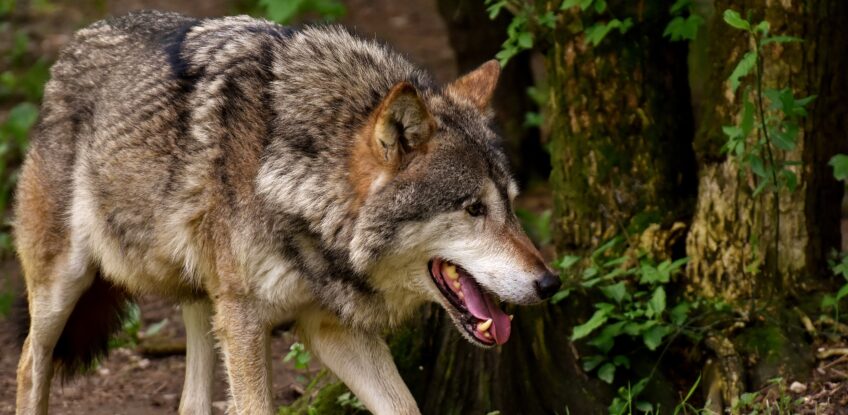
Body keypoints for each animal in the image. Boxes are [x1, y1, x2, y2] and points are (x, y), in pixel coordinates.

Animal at [13, 10, 561, 415]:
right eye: (473, 208)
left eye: (511, 204)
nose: (550, 283)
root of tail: (74, 44)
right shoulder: (245, 321)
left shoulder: (330, 327)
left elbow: (404, 406)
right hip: (64, 284)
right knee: (28, 365)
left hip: (203, 297)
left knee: (191, 402)